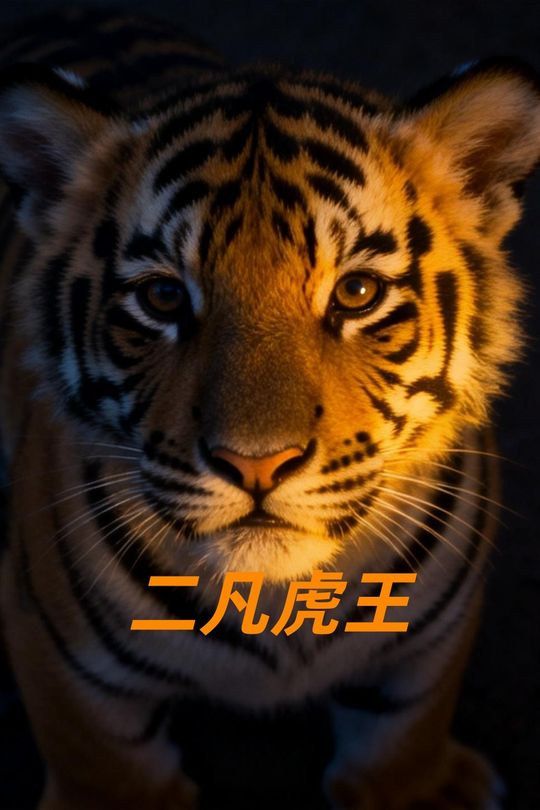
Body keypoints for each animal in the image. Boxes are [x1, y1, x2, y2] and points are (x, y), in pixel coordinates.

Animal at [0, 8, 538, 810]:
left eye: (356, 293)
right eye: (164, 297)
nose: (256, 464)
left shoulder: (423, 655)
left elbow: (402, 738)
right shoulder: (65, 667)